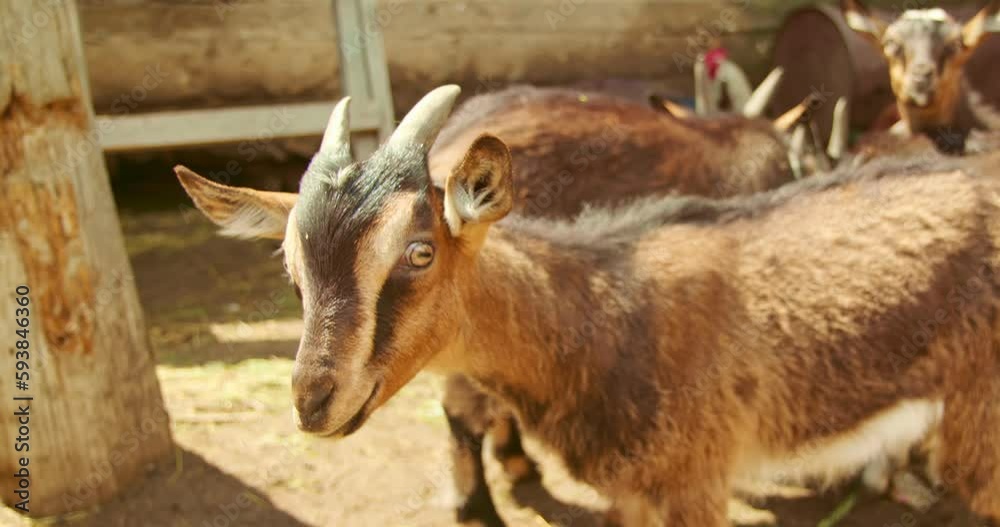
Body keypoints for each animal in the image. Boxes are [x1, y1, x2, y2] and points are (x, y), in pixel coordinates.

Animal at [178, 86, 1000, 526]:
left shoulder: (697, 480)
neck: (602, 310)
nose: (315, 399)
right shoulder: (634, 492)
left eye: (419, 252)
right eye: (292, 272)